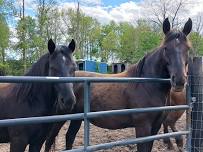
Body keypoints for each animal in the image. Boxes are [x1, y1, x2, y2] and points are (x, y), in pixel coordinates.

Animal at [45, 18, 193, 152]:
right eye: (166, 48)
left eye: (188, 49)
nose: (179, 80)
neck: (146, 84)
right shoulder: (143, 127)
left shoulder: (155, 127)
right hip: (59, 117)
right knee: (49, 140)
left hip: (76, 118)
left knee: (69, 137)